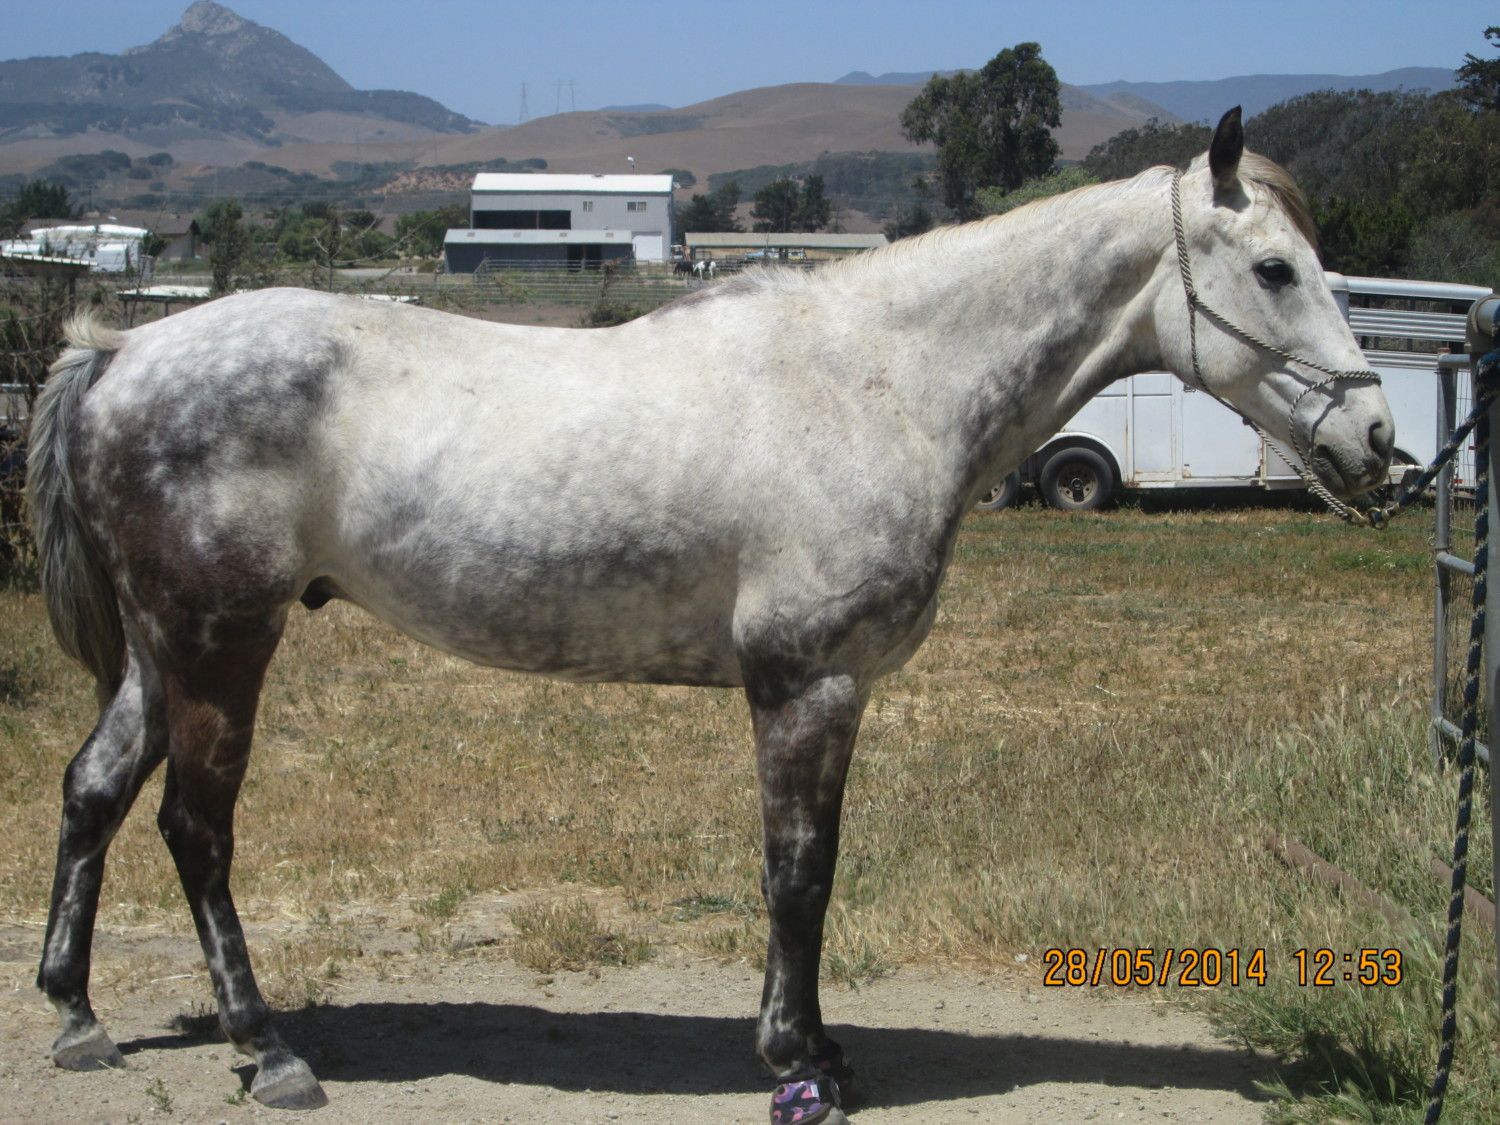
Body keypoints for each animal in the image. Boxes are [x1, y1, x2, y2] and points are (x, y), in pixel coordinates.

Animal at [27, 110, 1391, 1121]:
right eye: (1275, 269)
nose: (1378, 439)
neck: (883, 380)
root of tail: (122, 356)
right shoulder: (807, 684)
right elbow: (801, 873)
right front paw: (802, 1058)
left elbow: (808, 875)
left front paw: (814, 1046)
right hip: (220, 643)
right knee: (197, 830)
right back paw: (269, 1051)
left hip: (162, 651)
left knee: (92, 791)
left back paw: (78, 1017)